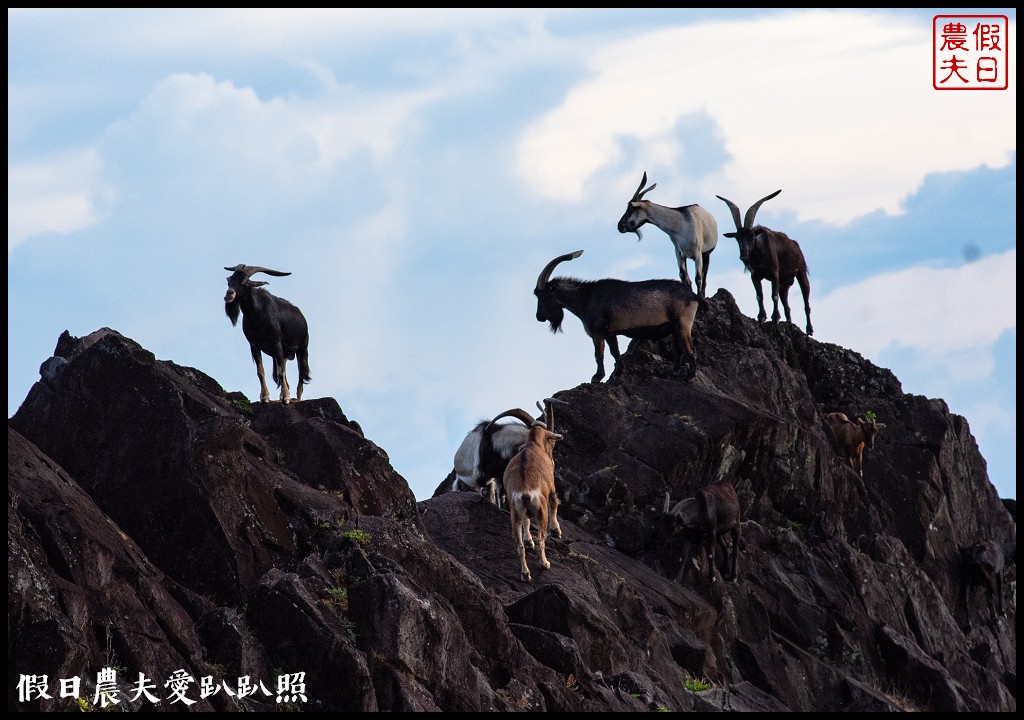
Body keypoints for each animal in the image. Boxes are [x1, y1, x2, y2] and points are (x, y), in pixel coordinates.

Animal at [221, 264, 307, 405]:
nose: (229, 294)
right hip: (283, 354)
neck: (257, 315)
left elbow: (281, 372)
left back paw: (297, 398)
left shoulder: (276, 342)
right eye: (230, 281)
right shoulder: (254, 345)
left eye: (245, 282)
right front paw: (265, 397)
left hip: (302, 348)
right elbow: (261, 371)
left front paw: (286, 398)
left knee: (301, 373)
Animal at [501, 421, 565, 581]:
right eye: (551, 441)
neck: (532, 445)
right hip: (541, 511)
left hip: (515, 513)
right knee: (541, 540)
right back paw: (545, 563)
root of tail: (525, 493)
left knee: (519, 545)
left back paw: (525, 574)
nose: (552, 459)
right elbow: (554, 502)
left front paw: (529, 541)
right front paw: (557, 531)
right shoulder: (551, 486)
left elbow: (527, 522)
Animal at [536, 248, 696, 383]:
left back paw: (690, 377)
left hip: (683, 324)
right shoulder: (610, 333)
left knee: (689, 349)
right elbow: (614, 352)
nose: (539, 317)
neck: (586, 298)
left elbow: (598, 354)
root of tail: (692, 296)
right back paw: (674, 372)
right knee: (679, 350)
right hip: (674, 329)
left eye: (542, 295)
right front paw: (618, 373)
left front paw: (597, 377)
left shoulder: (598, 332)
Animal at [614, 171, 720, 299]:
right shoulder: (679, 253)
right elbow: (684, 277)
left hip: (706, 255)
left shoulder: (697, 253)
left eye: (631, 207)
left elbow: (698, 278)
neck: (681, 224)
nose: (620, 226)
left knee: (704, 280)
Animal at [712, 191, 815, 337]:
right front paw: (761, 317)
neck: (760, 253)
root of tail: (795, 244)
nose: (743, 254)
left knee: (806, 301)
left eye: (752, 236)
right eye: (737, 237)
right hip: (785, 283)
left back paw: (809, 329)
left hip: (801, 272)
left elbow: (774, 296)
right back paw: (789, 324)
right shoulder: (755, 276)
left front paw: (775, 318)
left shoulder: (774, 274)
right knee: (787, 305)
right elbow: (759, 295)